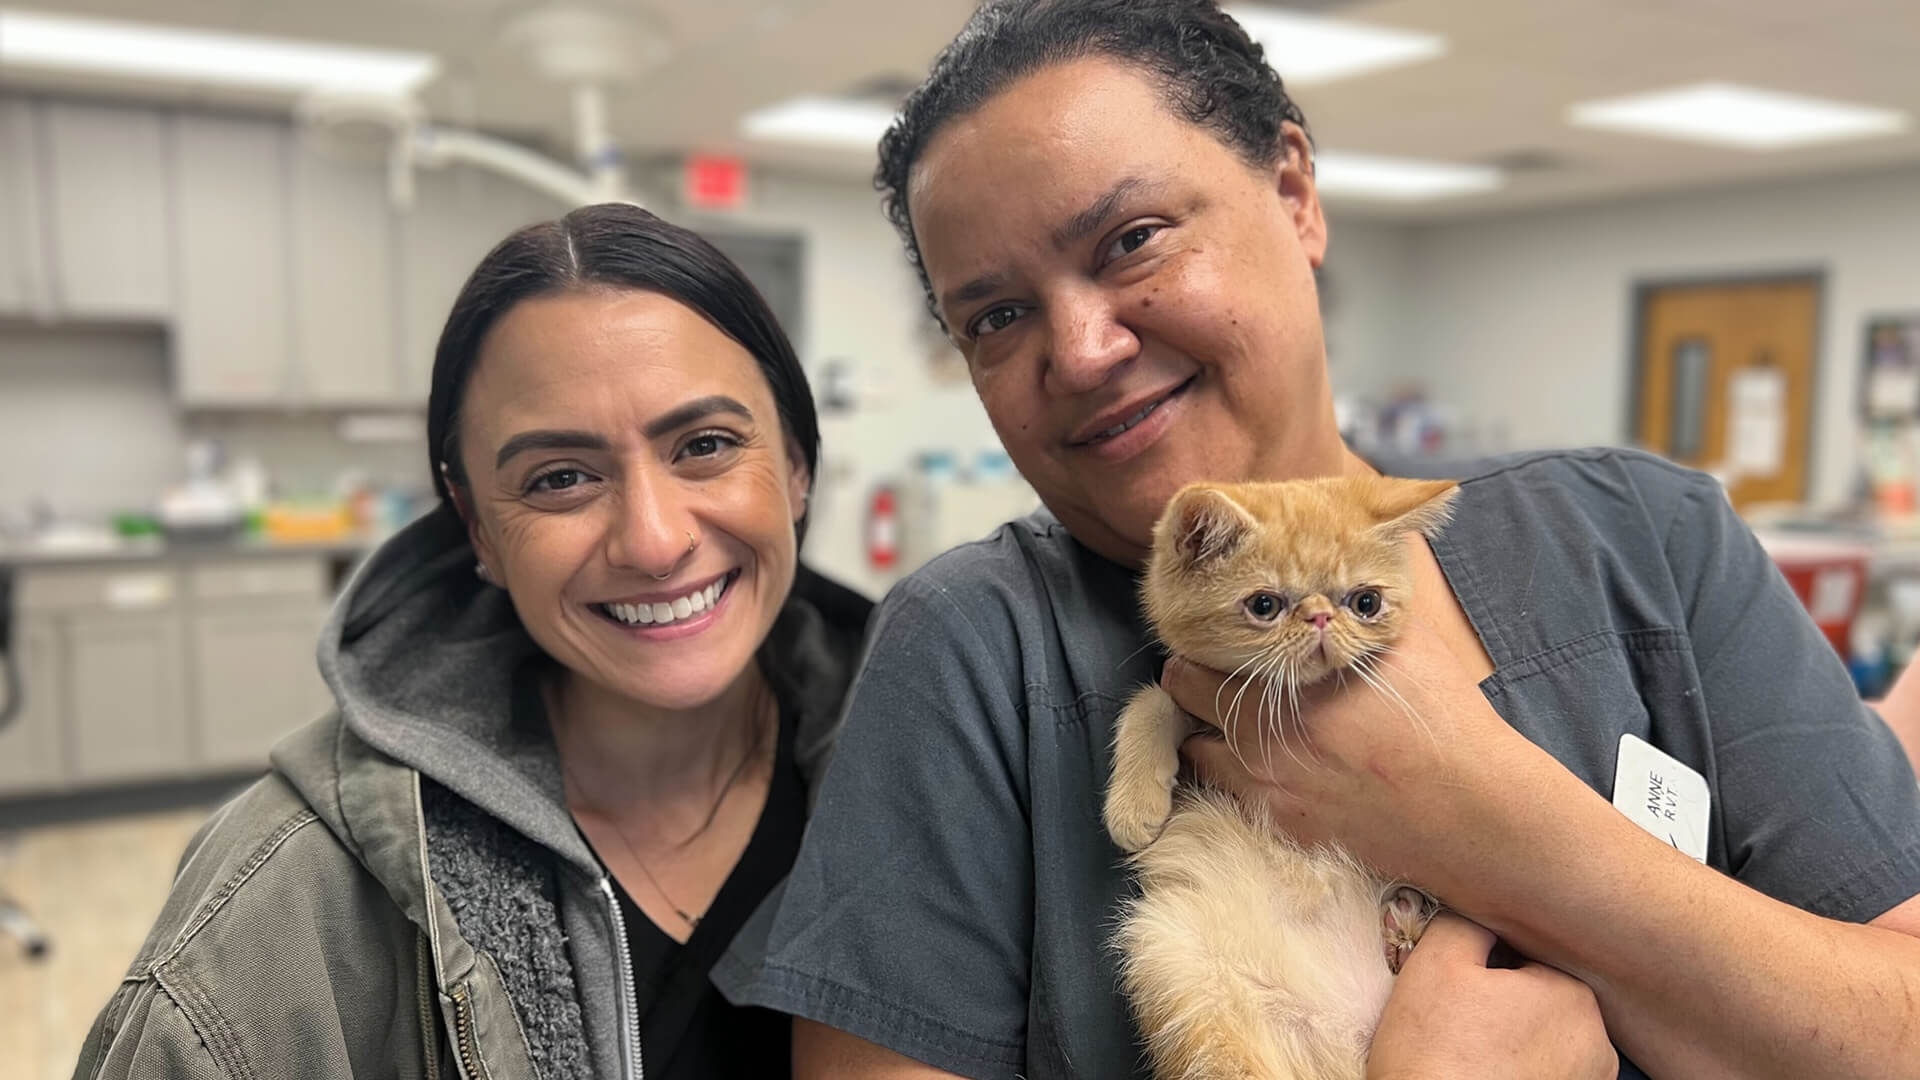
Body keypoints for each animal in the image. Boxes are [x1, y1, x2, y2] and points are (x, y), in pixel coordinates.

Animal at [1113, 472, 1451, 1076]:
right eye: (1264, 605)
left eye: (1366, 602)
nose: (1320, 617)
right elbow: (1152, 701)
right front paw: (1134, 804)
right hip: (1180, 967)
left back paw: (1405, 925)